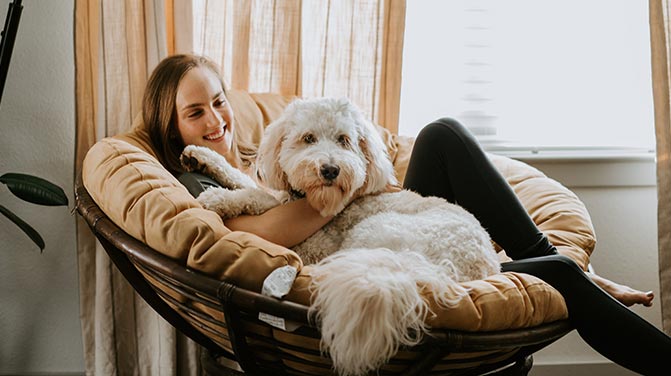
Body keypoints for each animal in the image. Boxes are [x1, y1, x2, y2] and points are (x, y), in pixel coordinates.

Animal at [181, 97, 502, 376]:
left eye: (344, 140)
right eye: (308, 138)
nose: (330, 169)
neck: (311, 201)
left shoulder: (310, 242)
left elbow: (257, 196)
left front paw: (219, 198)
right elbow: (246, 180)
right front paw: (201, 157)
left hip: (370, 234)